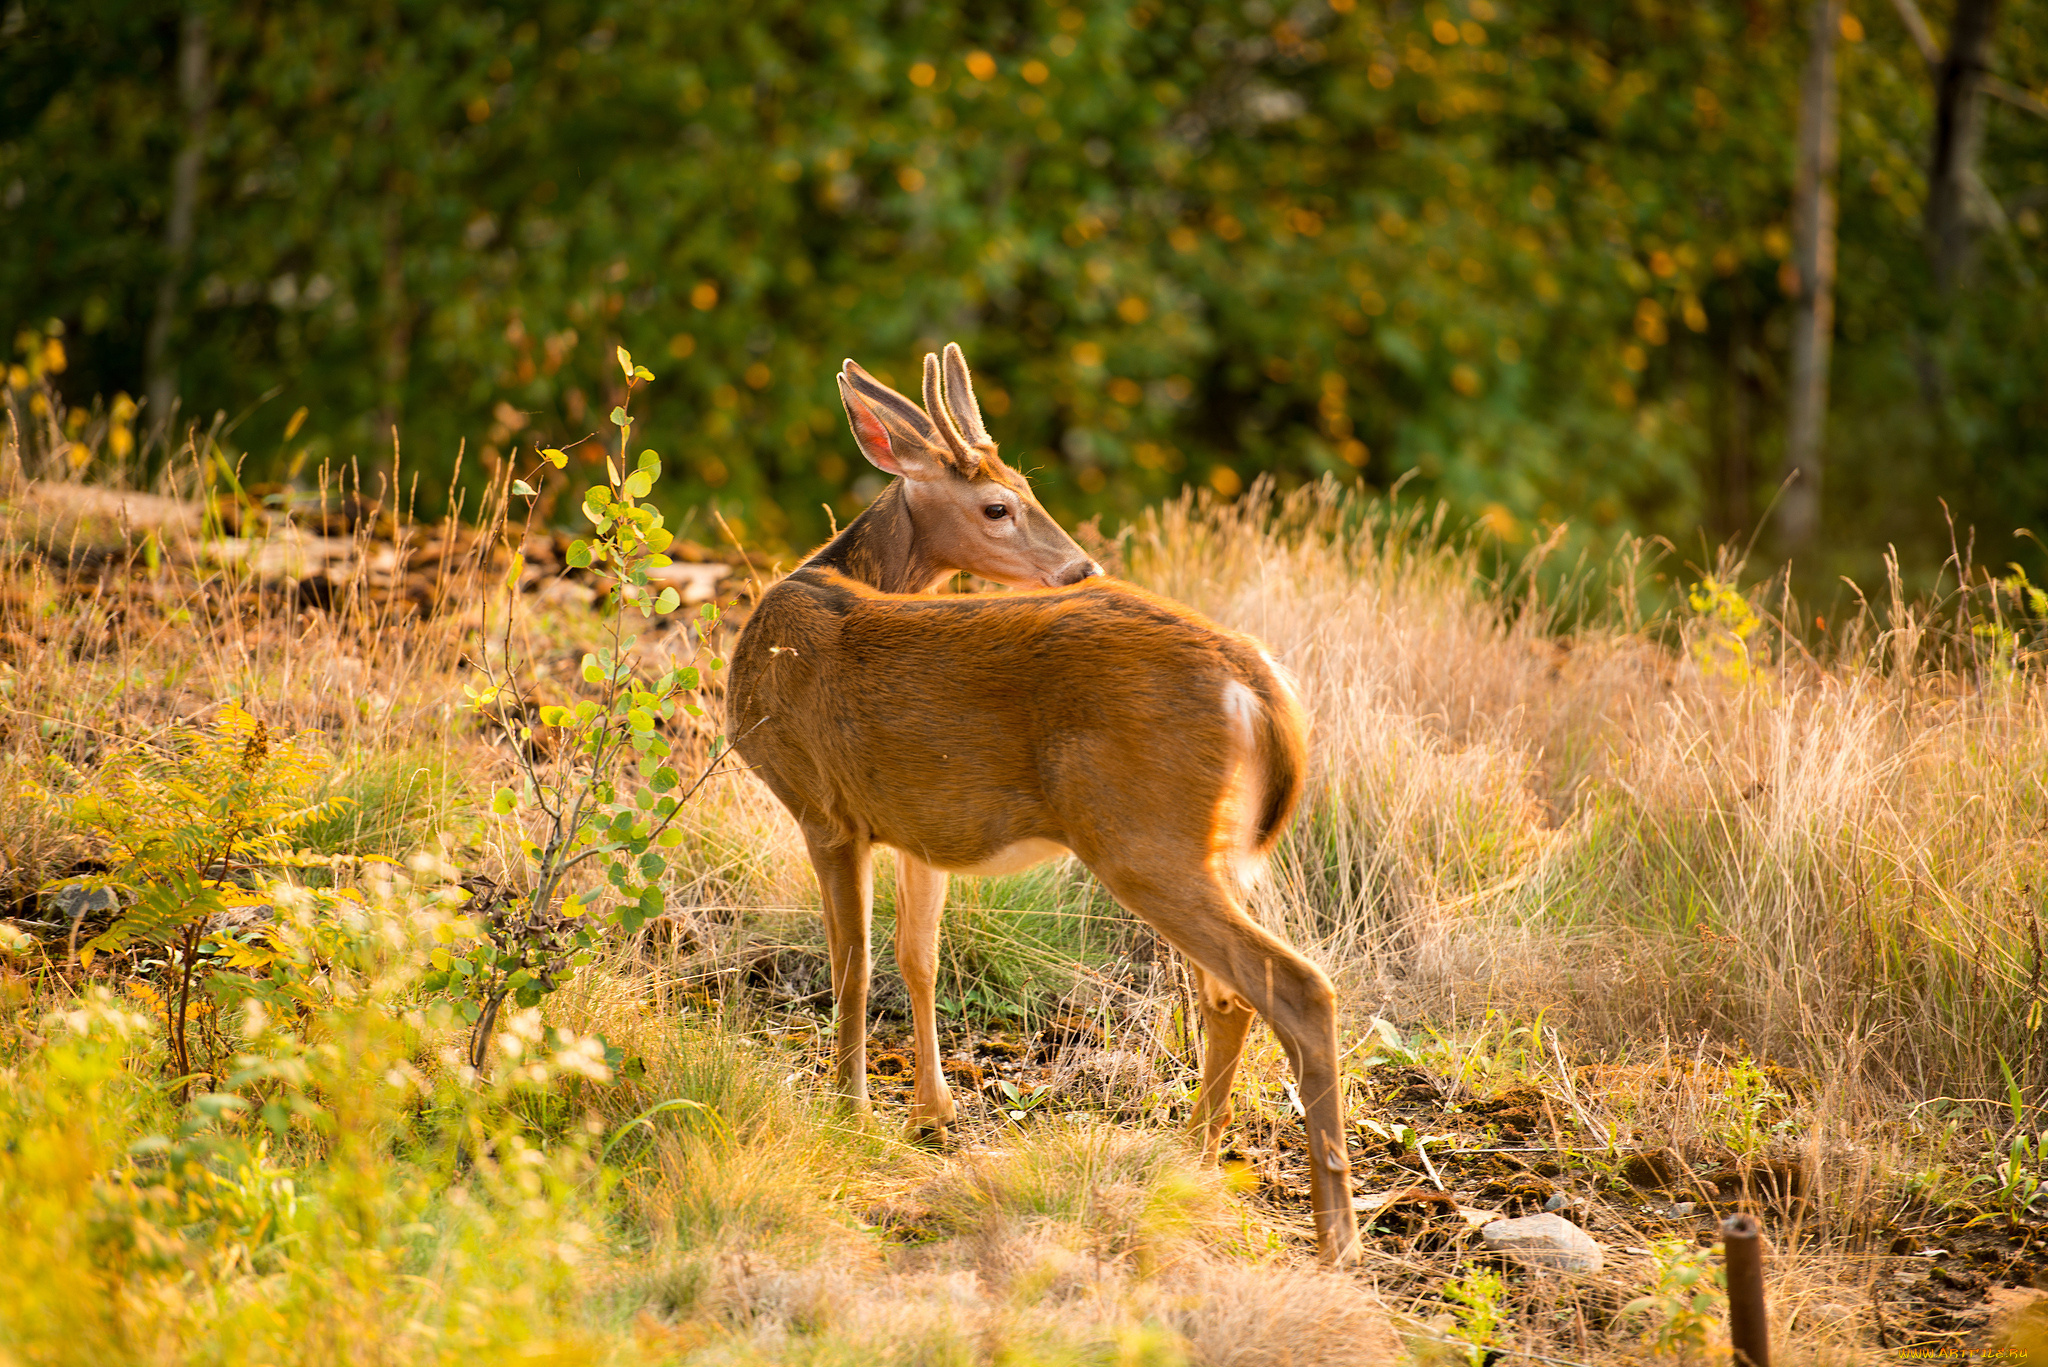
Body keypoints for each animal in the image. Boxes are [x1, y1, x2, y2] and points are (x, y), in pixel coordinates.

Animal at [720, 348, 1359, 1270]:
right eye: (1000, 500)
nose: (1081, 567)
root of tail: (1257, 681)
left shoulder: (824, 806)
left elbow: (852, 962)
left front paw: (848, 1108)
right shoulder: (917, 826)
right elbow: (918, 957)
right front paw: (932, 1112)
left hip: (1141, 835)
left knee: (1295, 986)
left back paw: (1334, 1234)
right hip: (1212, 846)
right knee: (1231, 994)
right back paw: (1192, 1159)